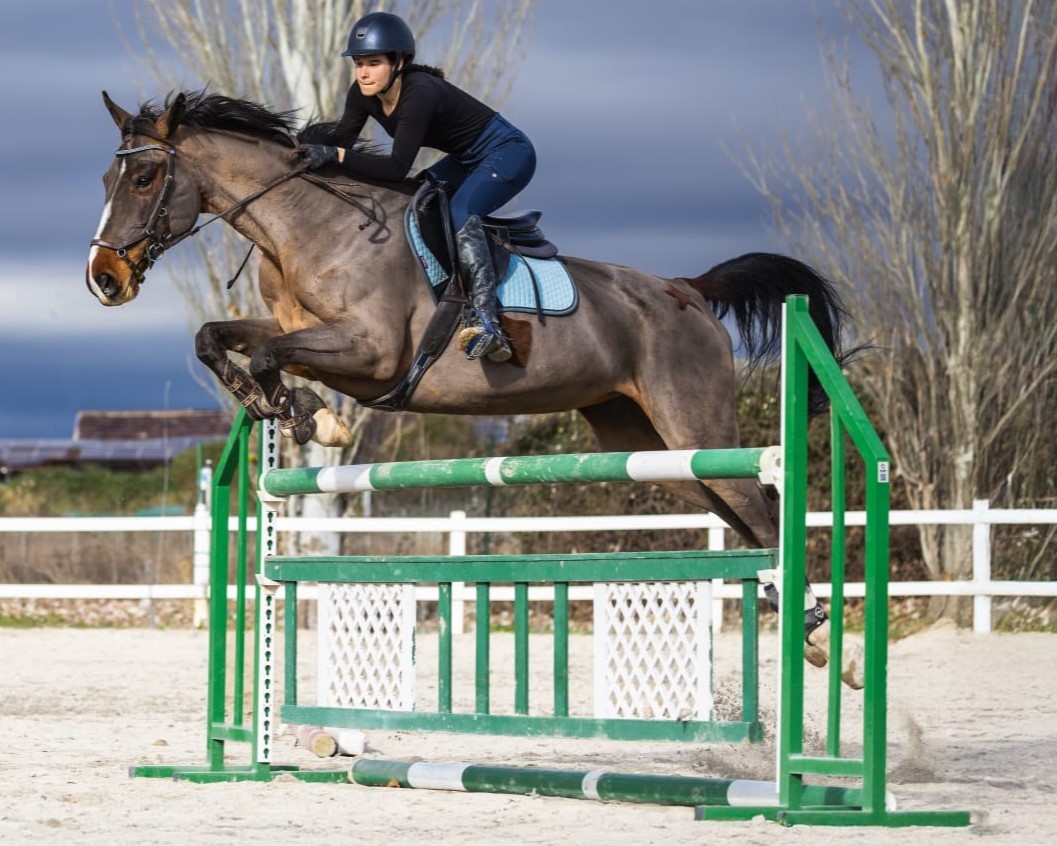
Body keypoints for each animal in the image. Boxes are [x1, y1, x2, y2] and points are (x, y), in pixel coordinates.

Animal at [86, 90, 862, 686]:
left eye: (146, 178)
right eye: (106, 181)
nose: (104, 279)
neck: (310, 230)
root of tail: (688, 289)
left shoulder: (372, 353)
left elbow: (277, 356)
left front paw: (304, 417)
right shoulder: (309, 337)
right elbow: (219, 338)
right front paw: (298, 413)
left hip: (695, 426)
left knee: (761, 505)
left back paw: (829, 643)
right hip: (654, 447)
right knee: (745, 515)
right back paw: (802, 626)